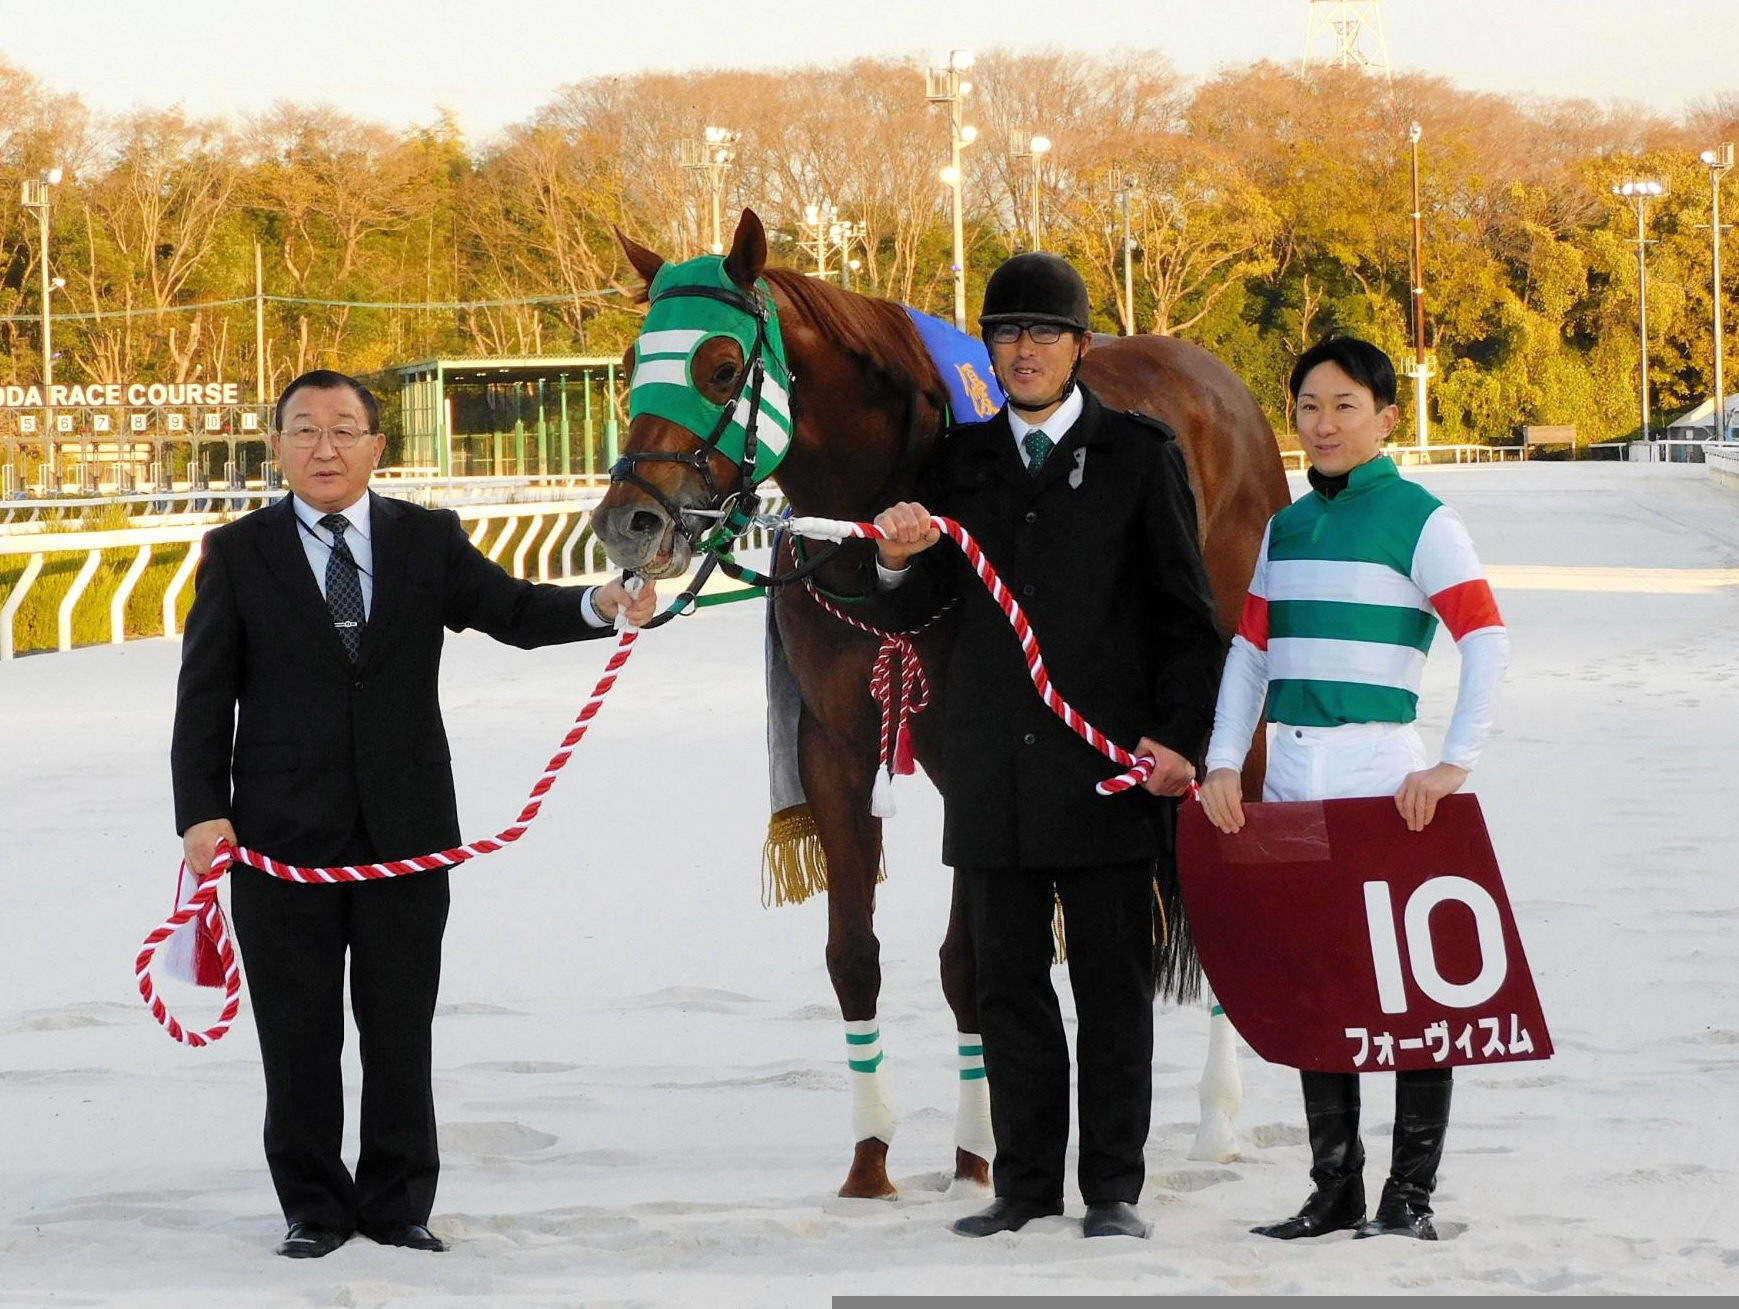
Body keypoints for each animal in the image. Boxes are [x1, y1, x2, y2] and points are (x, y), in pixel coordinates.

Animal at [598, 209, 1293, 1202]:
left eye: (722, 366)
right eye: (630, 362)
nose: (628, 523)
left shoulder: (974, 757)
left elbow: (968, 962)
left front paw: (977, 1152)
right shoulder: (833, 748)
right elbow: (853, 957)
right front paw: (870, 1159)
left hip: (1238, 714)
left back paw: (1216, 1119)